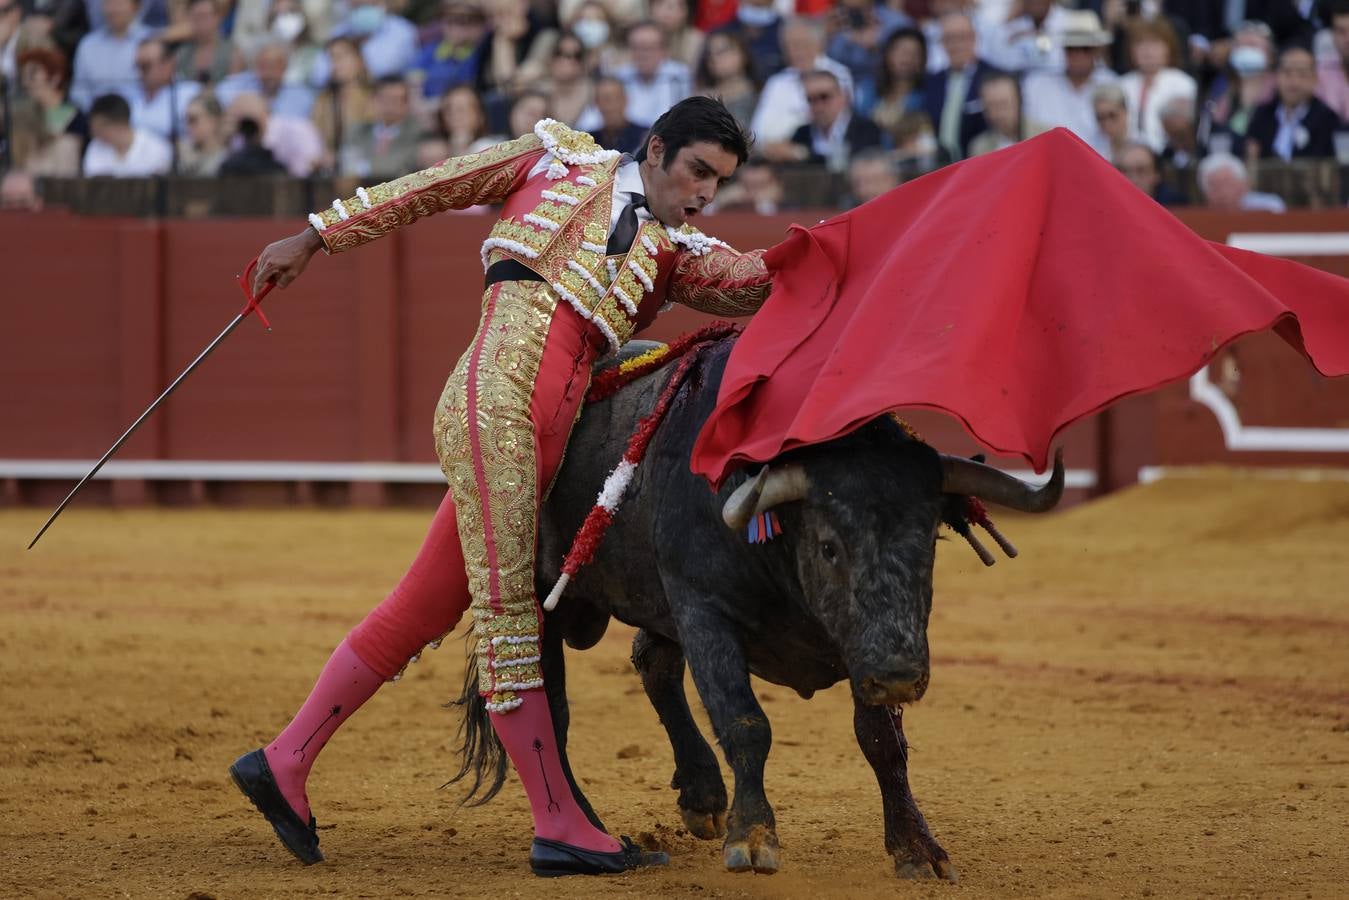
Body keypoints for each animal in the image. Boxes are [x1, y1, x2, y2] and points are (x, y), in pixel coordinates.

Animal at [453, 337, 1063, 879]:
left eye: (931, 541)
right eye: (829, 547)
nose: (899, 675)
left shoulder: (860, 647)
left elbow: (882, 740)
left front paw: (917, 847)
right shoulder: (703, 610)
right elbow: (746, 722)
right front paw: (751, 839)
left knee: (653, 663)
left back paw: (700, 795)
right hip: (538, 595)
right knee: (551, 708)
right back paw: (586, 832)